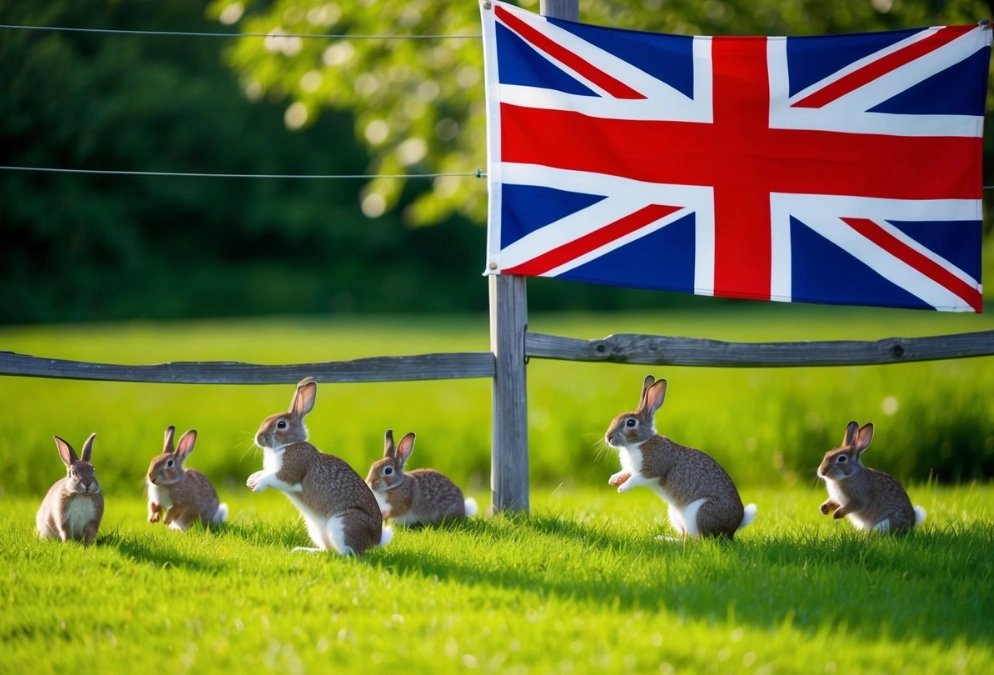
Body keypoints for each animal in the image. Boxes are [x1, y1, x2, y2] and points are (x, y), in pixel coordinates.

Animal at [247, 377, 392, 555]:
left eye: (281, 424)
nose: (258, 438)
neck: (289, 444)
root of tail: (375, 540)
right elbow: (263, 472)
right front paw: (251, 479)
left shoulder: (291, 472)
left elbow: (273, 478)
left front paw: (257, 485)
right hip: (316, 530)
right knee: (328, 549)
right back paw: (303, 550)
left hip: (344, 522)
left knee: (346, 553)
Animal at [604, 375, 757, 539]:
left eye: (631, 423)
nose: (608, 437)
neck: (639, 443)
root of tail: (734, 526)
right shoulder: (631, 469)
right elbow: (626, 472)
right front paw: (614, 480)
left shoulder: (654, 468)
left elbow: (637, 478)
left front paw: (622, 488)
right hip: (675, 514)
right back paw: (662, 539)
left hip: (699, 512)